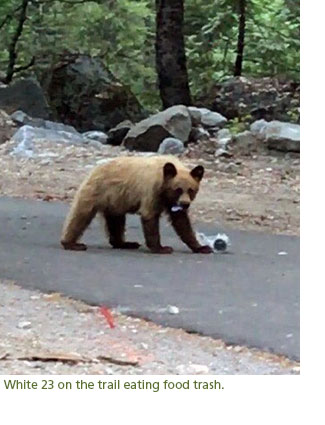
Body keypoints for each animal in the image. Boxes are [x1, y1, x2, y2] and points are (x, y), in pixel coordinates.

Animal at [60, 157, 213, 253]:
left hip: (115, 201)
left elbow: (182, 222)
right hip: (96, 192)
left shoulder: (171, 203)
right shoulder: (151, 191)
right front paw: (162, 248)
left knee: (116, 222)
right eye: (178, 189)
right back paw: (72, 244)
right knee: (80, 215)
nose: (185, 204)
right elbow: (150, 216)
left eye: (191, 190)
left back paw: (125, 243)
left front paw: (202, 247)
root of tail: (94, 170)